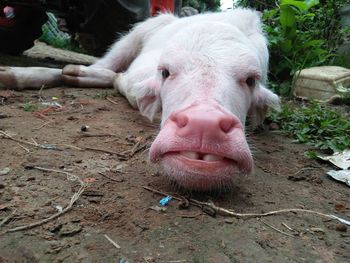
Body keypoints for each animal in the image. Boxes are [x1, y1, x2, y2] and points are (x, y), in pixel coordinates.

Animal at [0, 8, 278, 190]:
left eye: (251, 80)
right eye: (165, 72)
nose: (204, 125)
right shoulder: (140, 72)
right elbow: (125, 84)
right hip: (133, 36)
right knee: (104, 65)